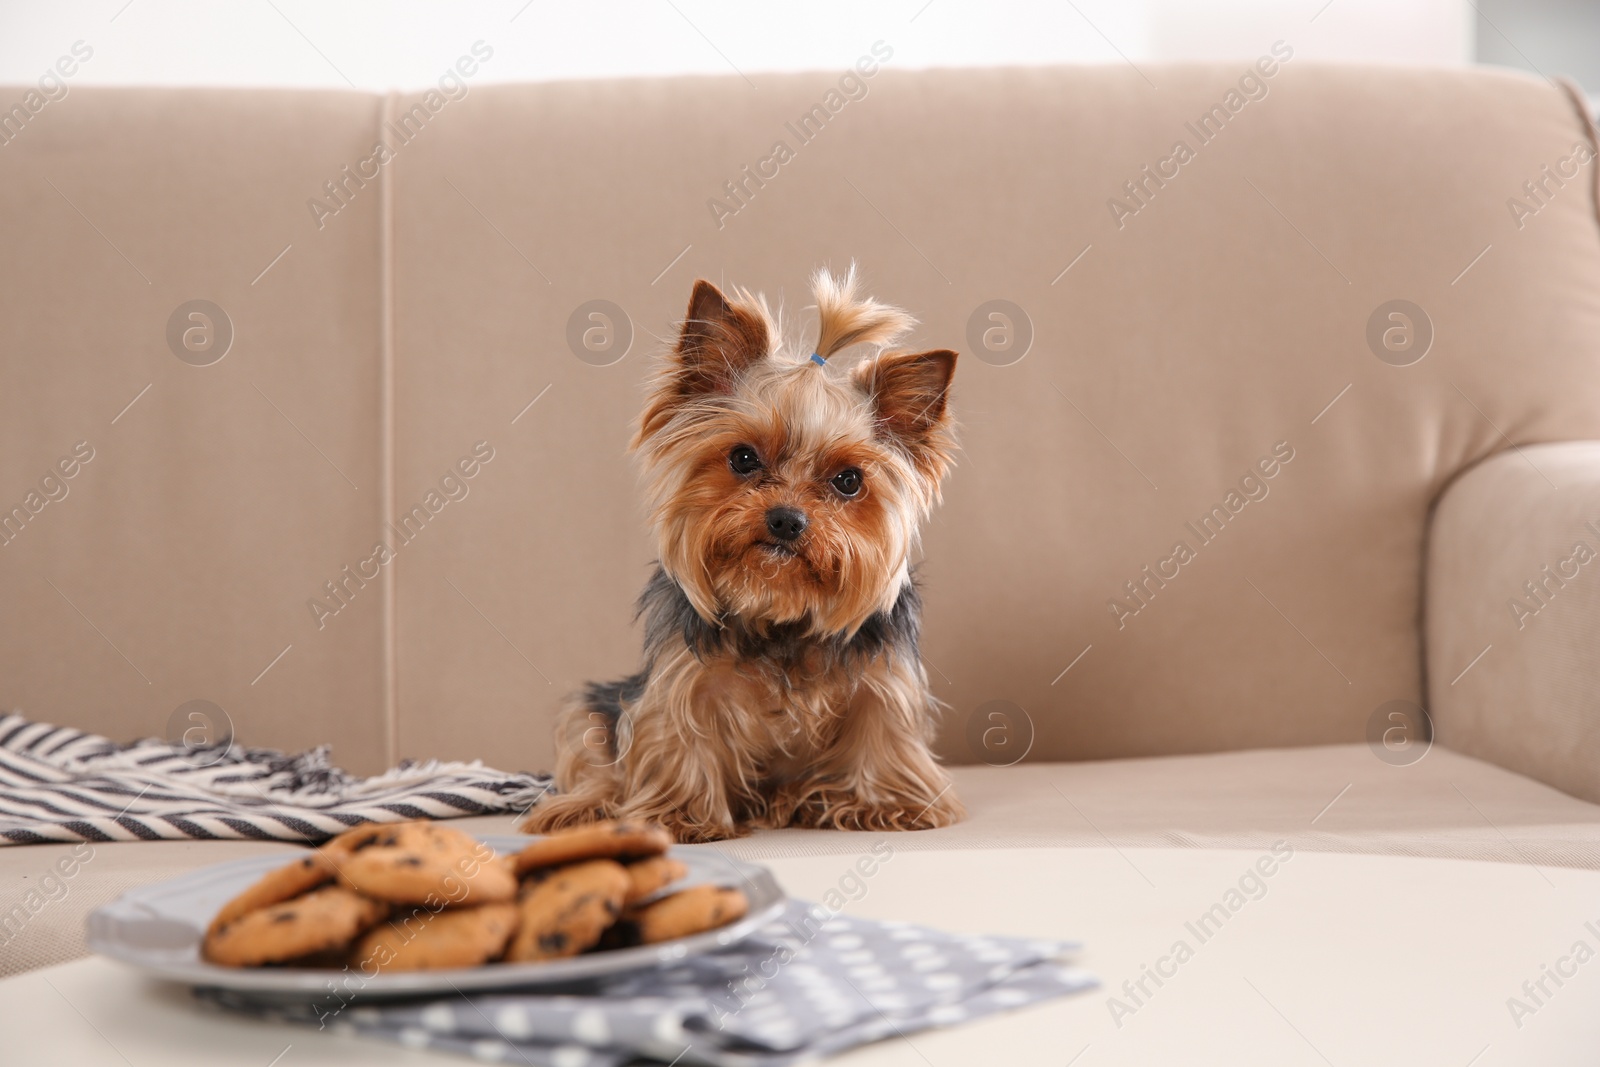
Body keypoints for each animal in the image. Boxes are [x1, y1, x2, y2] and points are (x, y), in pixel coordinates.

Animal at [528, 267, 960, 844]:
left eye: (848, 480)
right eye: (743, 458)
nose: (786, 519)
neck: (777, 610)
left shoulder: (881, 677)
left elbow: (882, 728)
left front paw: (884, 803)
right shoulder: (682, 679)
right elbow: (675, 733)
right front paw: (680, 813)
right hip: (589, 709)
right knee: (595, 753)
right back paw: (581, 808)